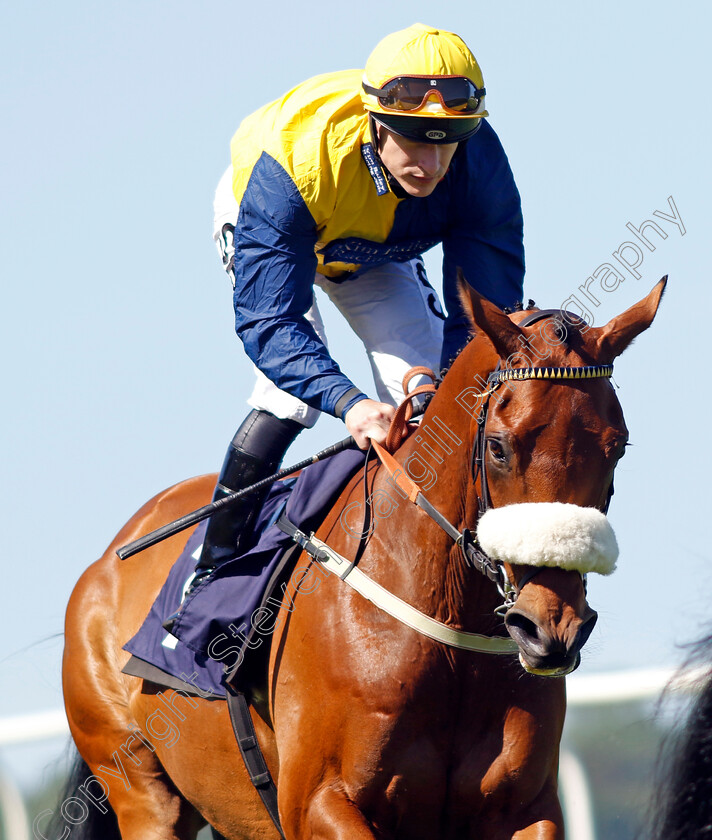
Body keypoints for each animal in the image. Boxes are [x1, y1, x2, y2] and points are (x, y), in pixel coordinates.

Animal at [58, 278, 664, 840]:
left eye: (617, 448)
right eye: (498, 446)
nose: (551, 627)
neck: (446, 625)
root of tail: (105, 564)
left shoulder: (526, 808)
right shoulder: (319, 803)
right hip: (140, 788)